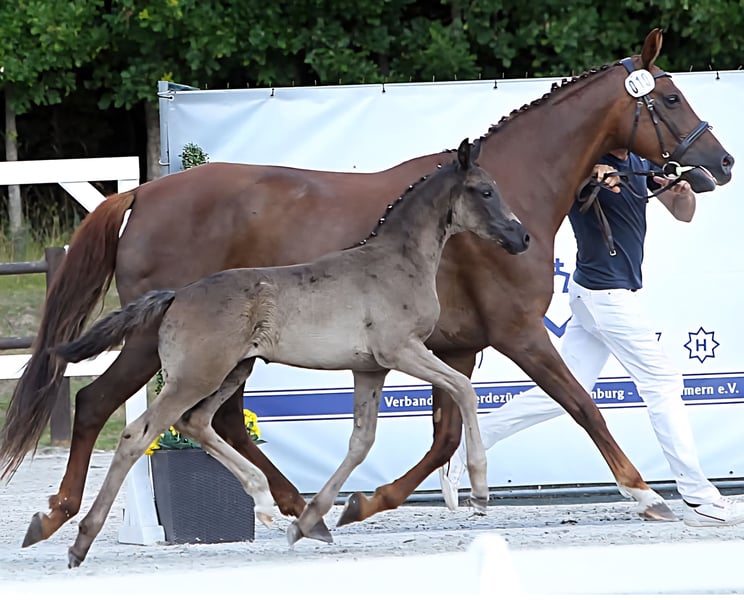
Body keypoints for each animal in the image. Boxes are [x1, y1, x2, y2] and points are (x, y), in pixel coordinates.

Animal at [53, 139, 529, 566]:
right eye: (485, 190)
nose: (521, 236)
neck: (397, 263)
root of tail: (175, 296)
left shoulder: (370, 369)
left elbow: (361, 441)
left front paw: (309, 522)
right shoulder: (402, 350)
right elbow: (464, 388)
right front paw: (479, 491)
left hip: (232, 370)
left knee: (197, 422)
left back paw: (264, 501)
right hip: (198, 376)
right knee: (139, 433)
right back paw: (79, 541)